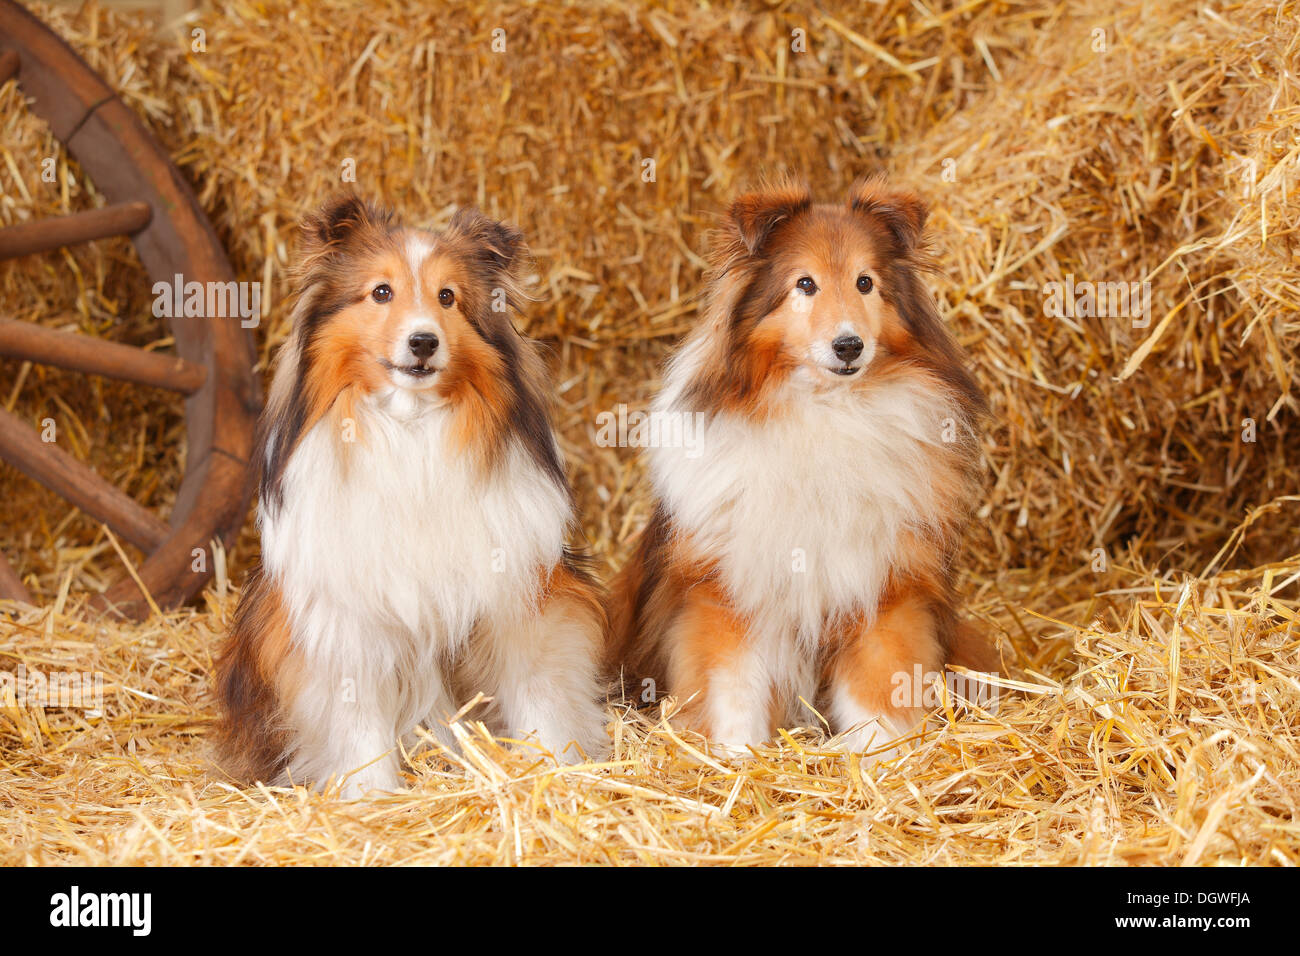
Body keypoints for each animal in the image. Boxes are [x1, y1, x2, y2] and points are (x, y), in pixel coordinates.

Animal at [218, 195, 608, 790]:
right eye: (382, 292)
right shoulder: (346, 622)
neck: (411, 428)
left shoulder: (521, 597)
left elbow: (538, 691)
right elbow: (357, 723)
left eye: (448, 297)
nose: (423, 341)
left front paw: (549, 772)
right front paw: (372, 795)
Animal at [608, 178, 993, 764]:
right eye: (805, 284)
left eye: (865, 282)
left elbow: (881, 685)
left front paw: (883, 759)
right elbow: (732, 687)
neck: (824, 410)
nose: (849, 345)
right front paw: (735, 759)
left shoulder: (885, 587)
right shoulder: (727, 590)